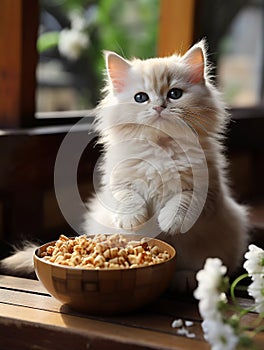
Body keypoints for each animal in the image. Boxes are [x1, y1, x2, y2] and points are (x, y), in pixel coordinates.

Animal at [1, 41, 250, 292]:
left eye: (175, 94)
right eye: (141, 97)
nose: (159, 107)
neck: (160, 147)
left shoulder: (206, 189)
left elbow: (183, 201)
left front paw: (170, 222)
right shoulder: (117, 183)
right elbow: (128, 198)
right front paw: (133, 220)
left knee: (196, 268)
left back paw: (185, 279)